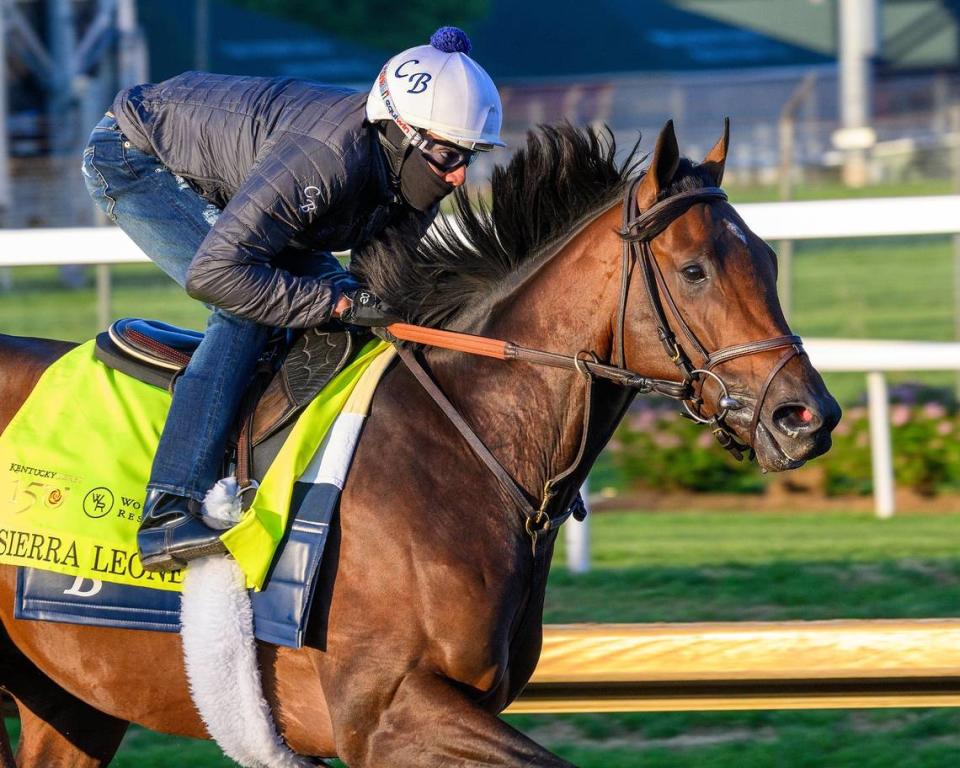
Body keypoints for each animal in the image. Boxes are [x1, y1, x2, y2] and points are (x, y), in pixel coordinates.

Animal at [0, 123, 836, 764]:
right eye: (694, 270)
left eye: (767, 259)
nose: (808, 416)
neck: (465, 447)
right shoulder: (387, 713)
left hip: (68, 700)